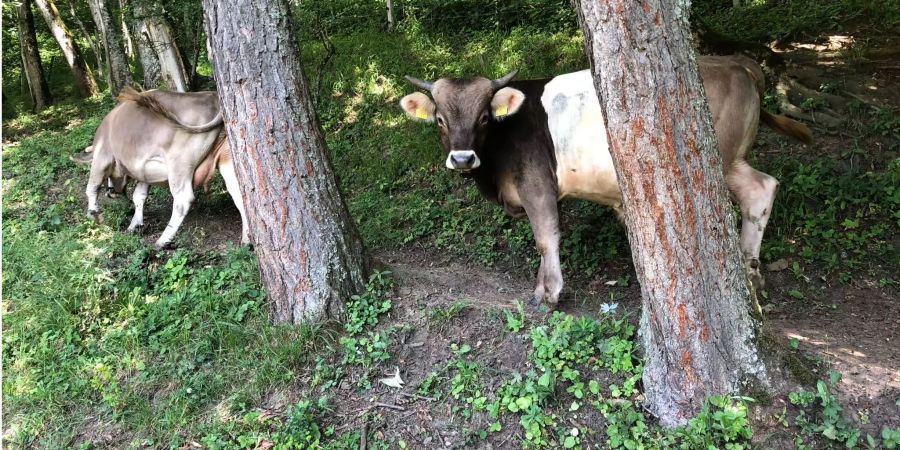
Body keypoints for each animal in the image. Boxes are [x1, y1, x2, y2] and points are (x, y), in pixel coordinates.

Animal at [79, 87, 248, 250]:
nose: (110, 192)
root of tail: (213, 96)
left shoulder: (102, 157)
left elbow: (92, 187)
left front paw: (93, 214)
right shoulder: (144, 173)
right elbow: (139, 196)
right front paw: (135, 224)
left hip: (179, 164)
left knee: (183, 200)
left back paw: (162, 240)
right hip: (227, 158)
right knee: (240, 195)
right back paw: (247, 240)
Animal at [398, 52, 812, 306]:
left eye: (484, 117)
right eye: (440, 120)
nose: (462, 157)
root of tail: (737, 64)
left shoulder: (537, 185)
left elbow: (545, 238)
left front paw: (550, 294)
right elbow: (549, 237)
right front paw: (541, 285)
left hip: (717, 160)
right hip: (734, 161)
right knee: (762, 188)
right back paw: (751, 271)